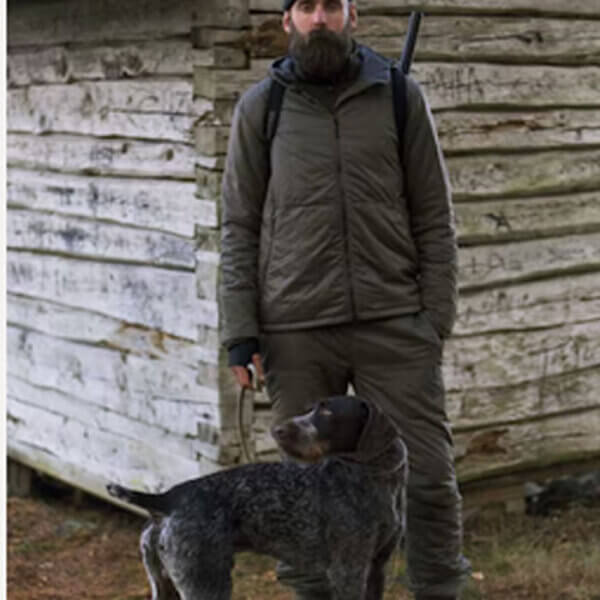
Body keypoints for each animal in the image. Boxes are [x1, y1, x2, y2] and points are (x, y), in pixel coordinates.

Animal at [106, 396, 408, 596]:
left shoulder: (376, 567)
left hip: (164, 583)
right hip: (206, 580)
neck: (376, 478)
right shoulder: (348, 570)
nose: (278, 430)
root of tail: (168, 498)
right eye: (315, 408)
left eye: (327, 412)